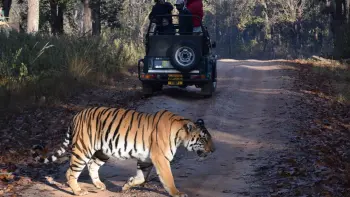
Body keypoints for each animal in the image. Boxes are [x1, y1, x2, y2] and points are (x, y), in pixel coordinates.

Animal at [31, 106, 215, 197]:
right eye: (204, 139)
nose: (213, 150)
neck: (180, 134)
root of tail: (76, 115)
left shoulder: (146, 159)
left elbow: (141, 178)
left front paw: (127, 185)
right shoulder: (161, 158)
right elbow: (168, 178)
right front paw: (177, 193)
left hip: (102, 152)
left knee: (92, 165)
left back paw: (99, 185)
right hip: (83, 149)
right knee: (70, 172)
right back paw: (78, 191)